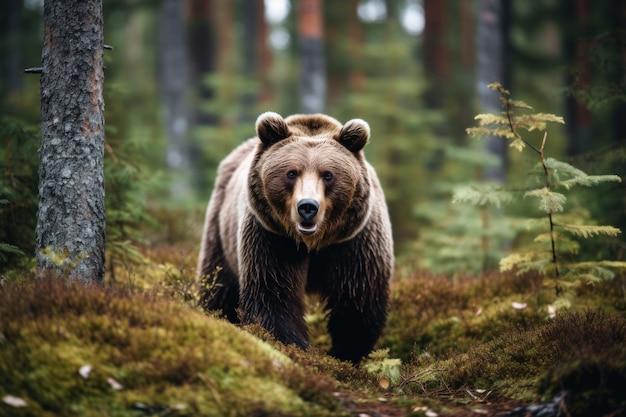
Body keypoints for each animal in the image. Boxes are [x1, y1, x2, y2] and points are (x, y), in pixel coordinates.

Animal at [197, 112, 392, 362]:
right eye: (291, 172)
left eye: (328, 175)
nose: (308, 207)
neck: (313, 243)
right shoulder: (272, 237)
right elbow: (274, 294)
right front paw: (296, 347)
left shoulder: (354, 242)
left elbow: (357, 299)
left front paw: (344, 352)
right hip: (220, 228)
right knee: (219, 284)